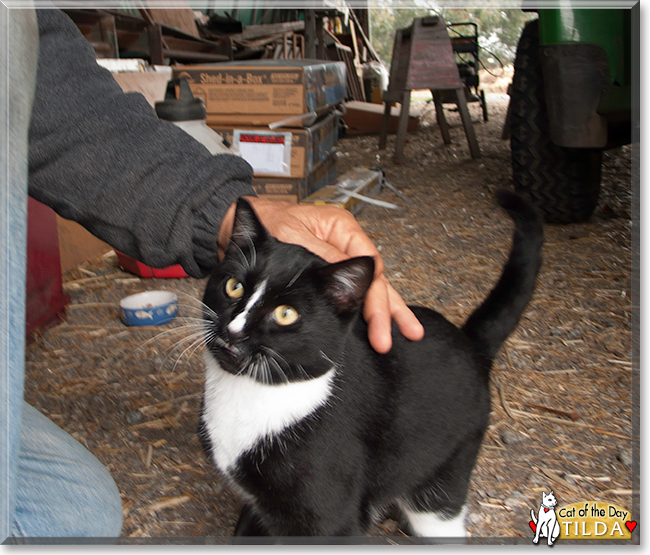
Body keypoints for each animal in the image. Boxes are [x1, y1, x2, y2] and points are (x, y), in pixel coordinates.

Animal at [197, 191, 540, 540]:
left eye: (285, 314)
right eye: (234, 286)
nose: (234, 330)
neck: (250, 395)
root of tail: (470, 342)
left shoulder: (330, 520)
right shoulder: (258, 504)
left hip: (445, 472)